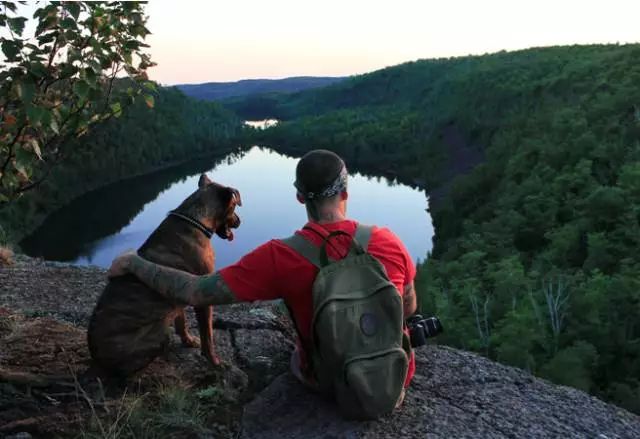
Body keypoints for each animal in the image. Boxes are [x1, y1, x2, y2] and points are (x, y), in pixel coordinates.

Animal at [87, 174, 240, 376]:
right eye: (234, 206)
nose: (239, 221)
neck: (196, 219)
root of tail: (97, 360)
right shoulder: (201, 298)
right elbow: (207, 337)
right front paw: (214, 363)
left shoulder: (178, 292)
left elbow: (181, 322)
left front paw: (188, 341)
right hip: (159, 332)